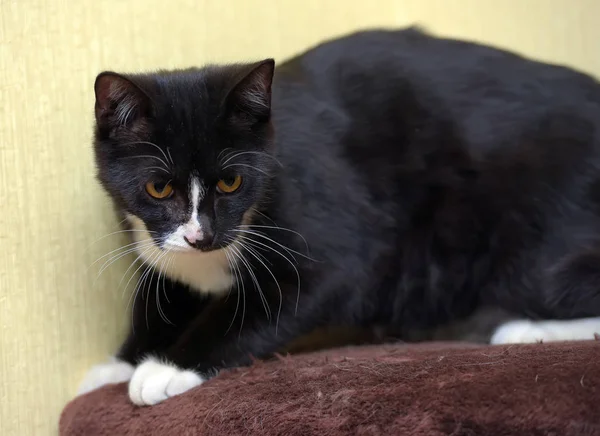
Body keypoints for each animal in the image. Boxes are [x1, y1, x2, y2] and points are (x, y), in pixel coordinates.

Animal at [77, 29, 600, 408]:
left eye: (231, 183)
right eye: (158, 188)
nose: (201, 236)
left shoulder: (333, 240)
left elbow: (281, 298)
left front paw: (166, 368)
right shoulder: (163, 248)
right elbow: (163, 295)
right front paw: (121, 362)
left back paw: (524, 329)